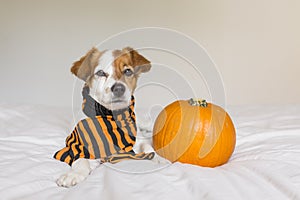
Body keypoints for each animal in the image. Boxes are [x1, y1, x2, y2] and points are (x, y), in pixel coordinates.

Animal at [54, 47, 162, 188]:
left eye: (128, 71)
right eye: (100, 73)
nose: (119, 88)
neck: (110, 117)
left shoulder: (139, 140)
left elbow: (148, 148)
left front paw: (160, 159)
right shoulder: (80, 146)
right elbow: (81, 160)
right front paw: (74, 174)